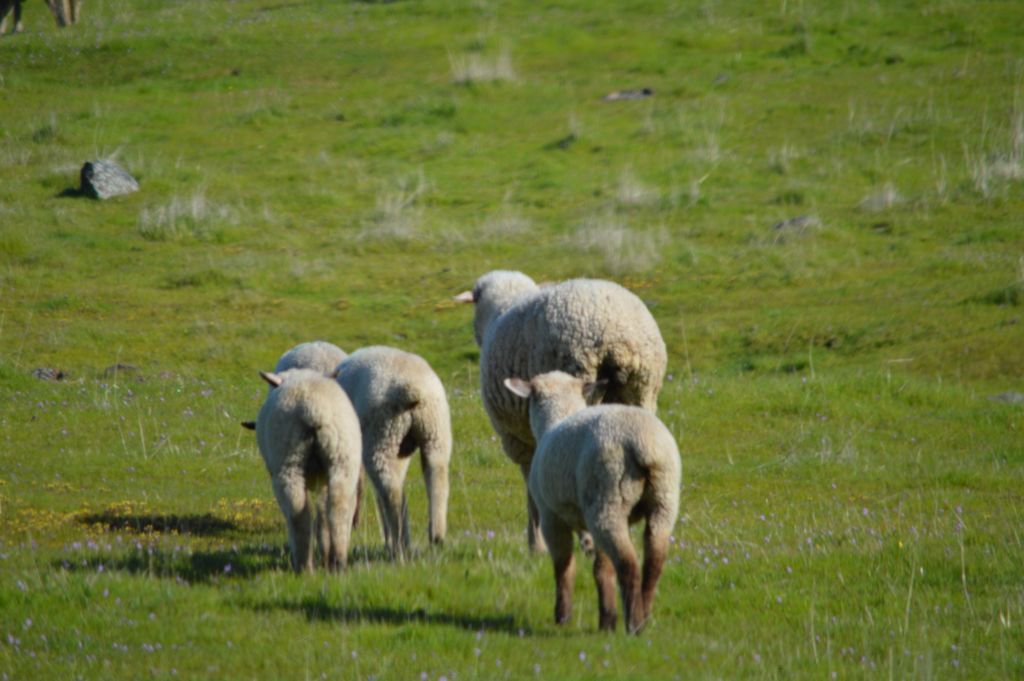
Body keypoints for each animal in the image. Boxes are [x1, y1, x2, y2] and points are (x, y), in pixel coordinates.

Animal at [255, 368, 362, 572]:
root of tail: (312, 409)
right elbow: (322, 513)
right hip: (341, 459)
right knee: (337, 506)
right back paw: (338, 562)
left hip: (288, 462)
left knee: (298, 514)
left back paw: (304, 566)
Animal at [334, 345, 451, 561]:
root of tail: (411, 389)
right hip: (434, 433)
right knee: (437, 478)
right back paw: (436, 535)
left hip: (380, 438)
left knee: (390, 492)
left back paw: (398, 545)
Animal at [504, 371, 681, 634]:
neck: (557, 418)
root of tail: (644, 444)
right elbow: (602, 569)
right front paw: (606, 621)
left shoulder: (551, 517)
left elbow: (564, 567)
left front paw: (563, 616)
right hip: (662, 500)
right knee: (654, 561)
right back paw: (644, 617)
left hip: (607, 502)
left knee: (628, 565)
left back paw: (634, 624)